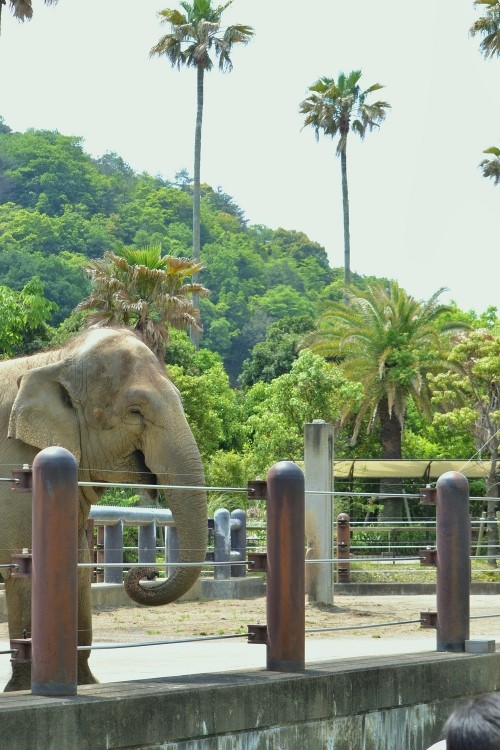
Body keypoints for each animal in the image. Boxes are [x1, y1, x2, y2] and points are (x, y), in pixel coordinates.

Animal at [0, 328, 207, 692]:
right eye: (135, 412)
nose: (146, 572)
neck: (56, 359)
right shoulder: (19, 466)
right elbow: (25, 565)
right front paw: (24, 690)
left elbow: (77, 564)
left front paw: (86, 684)